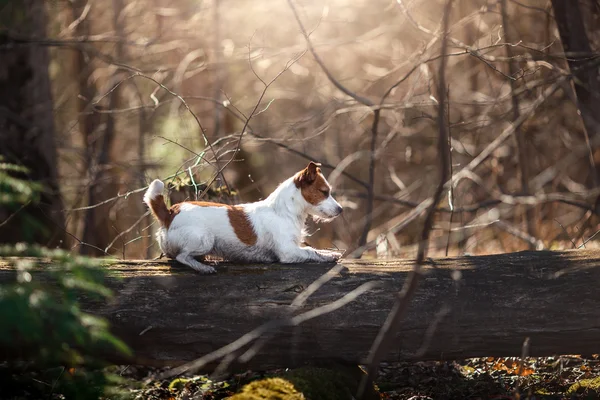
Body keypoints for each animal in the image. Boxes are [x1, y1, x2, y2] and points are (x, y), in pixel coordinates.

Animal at [142, 161, 342, 274]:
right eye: (324, 192)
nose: (340, 210)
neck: (284, 210)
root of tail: (170, 213)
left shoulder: (294, 246)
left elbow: (315, 250)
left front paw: (330, 253)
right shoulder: (288, 251)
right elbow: (310, 252)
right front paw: (328, 256)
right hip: (205, 239)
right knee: (182, 257)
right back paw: (203, 268)